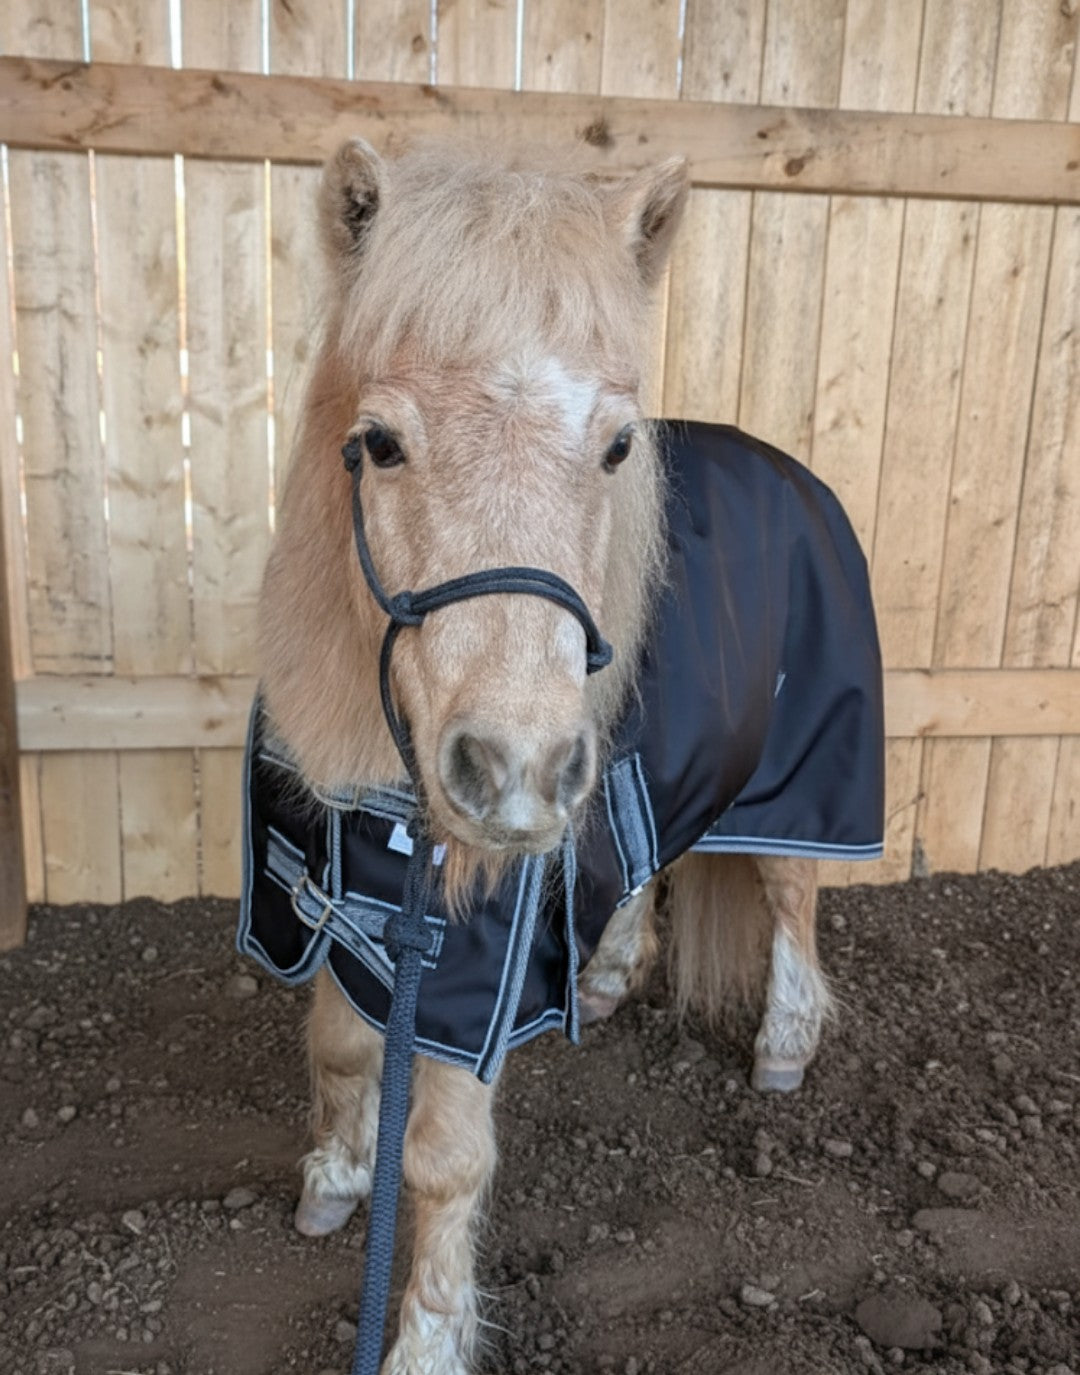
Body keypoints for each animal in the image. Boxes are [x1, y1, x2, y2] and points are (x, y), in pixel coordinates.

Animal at [255, 139, 832, 1375]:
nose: (514, 770)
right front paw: (336, 1175)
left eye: (616, 446)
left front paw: (423, 1339)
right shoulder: (334, 890)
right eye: (380, 443)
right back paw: (608, 976)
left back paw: (786, 1043)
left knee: (791, 894)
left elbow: (443, 1160)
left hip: (801, 784)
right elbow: (340, 1043)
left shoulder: (472, 971)